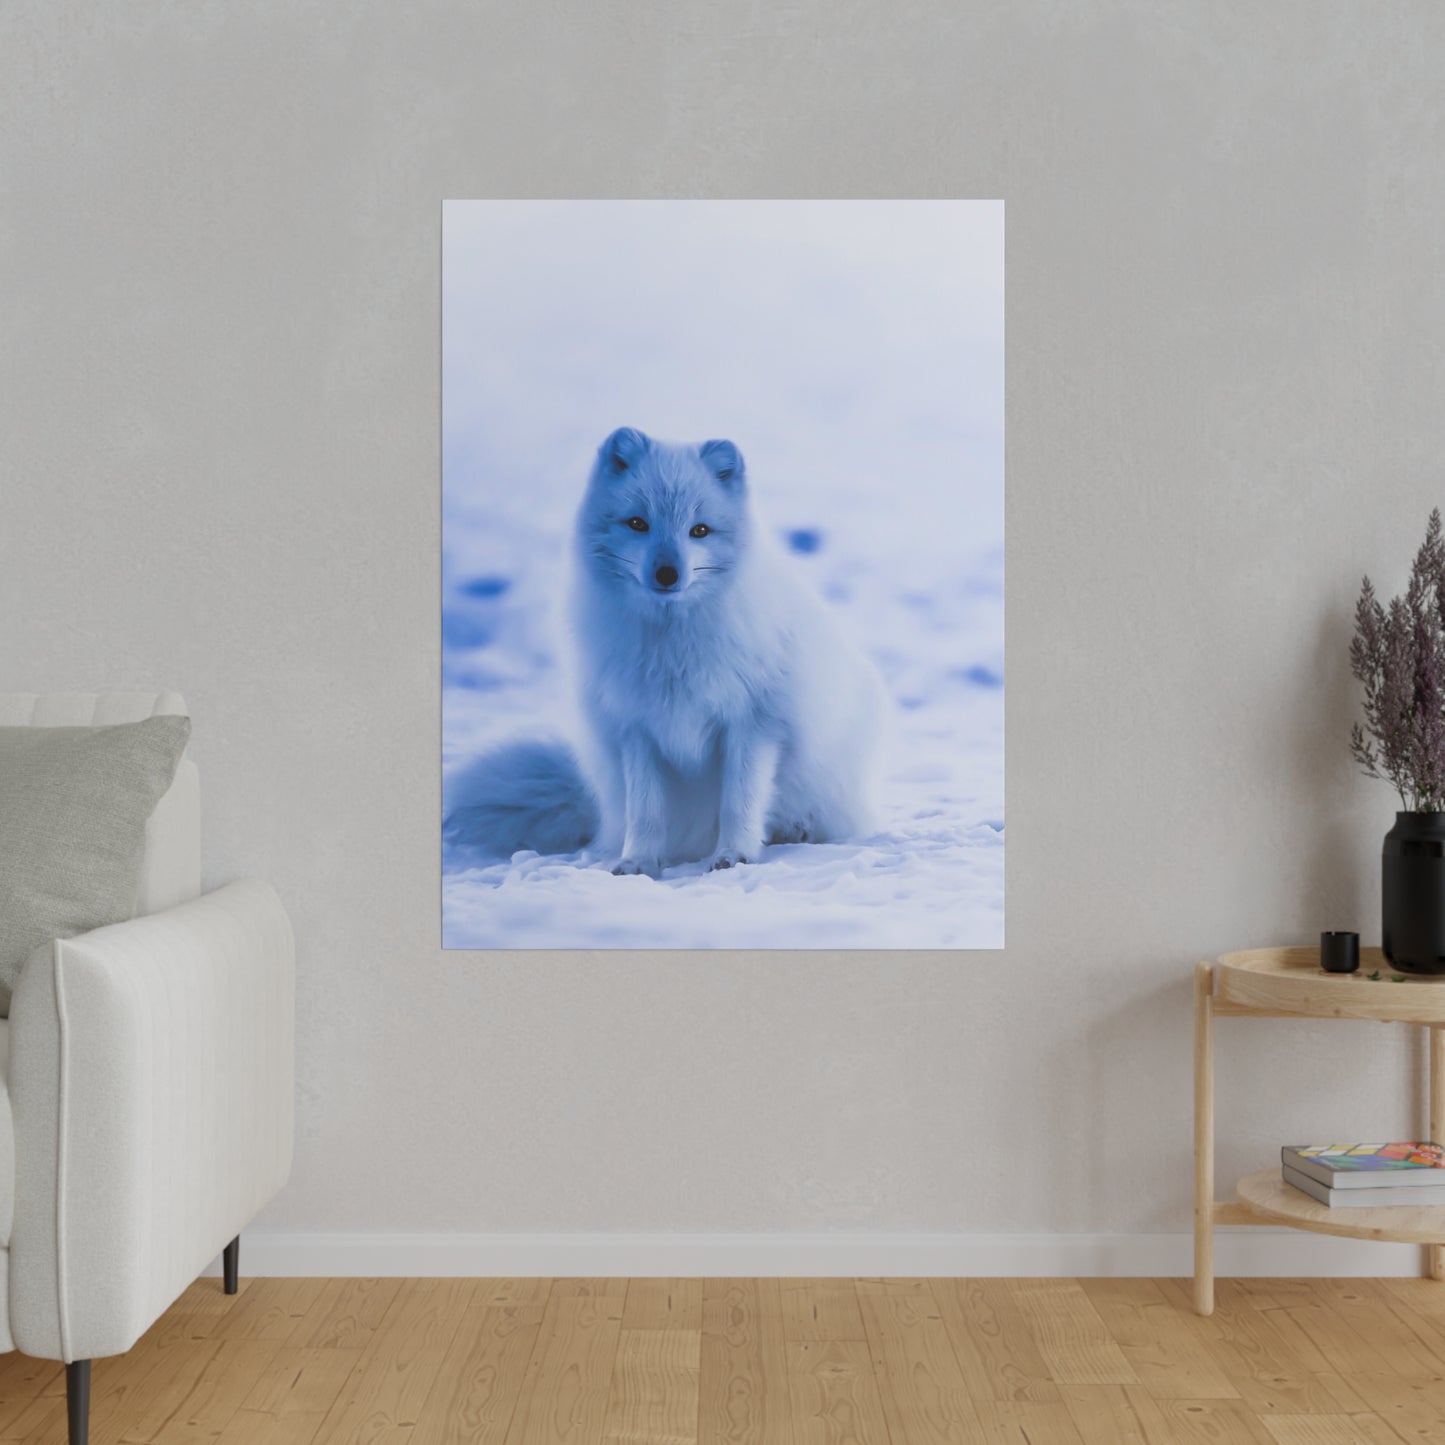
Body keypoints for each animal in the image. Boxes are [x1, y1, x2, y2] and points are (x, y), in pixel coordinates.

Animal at [445, 424, 884, 878]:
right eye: (638, 523)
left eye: (700, 530)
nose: (668, 573)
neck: (671, 645)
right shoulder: (637, 729)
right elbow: (646, 811)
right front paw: (637, 861)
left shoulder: (753, 725)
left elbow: (739, 802)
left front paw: (735, 855)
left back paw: (796, 830)